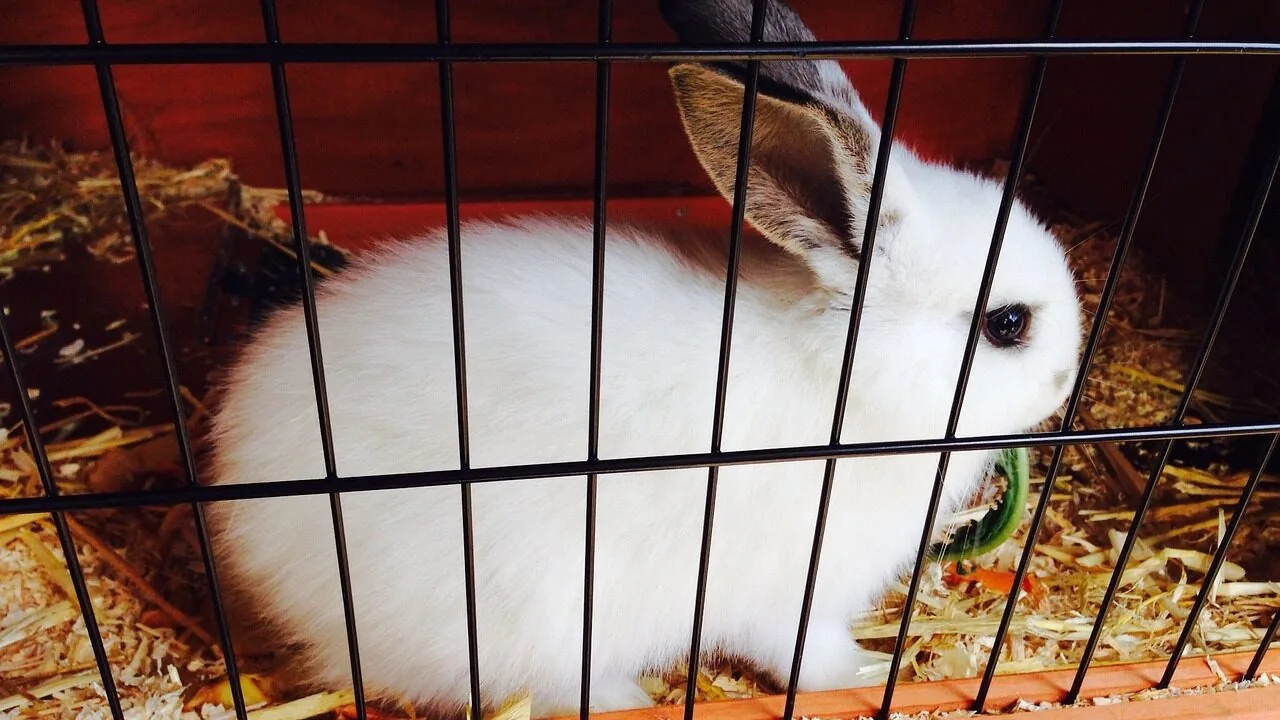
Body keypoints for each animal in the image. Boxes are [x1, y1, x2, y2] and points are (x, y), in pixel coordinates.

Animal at [203, 0, 1083, 716]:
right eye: (1007, 324)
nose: (1067, 377)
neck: (846, 384)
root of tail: (245, 520)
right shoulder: (791, 588)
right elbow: (804, 654)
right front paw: (868, 675)